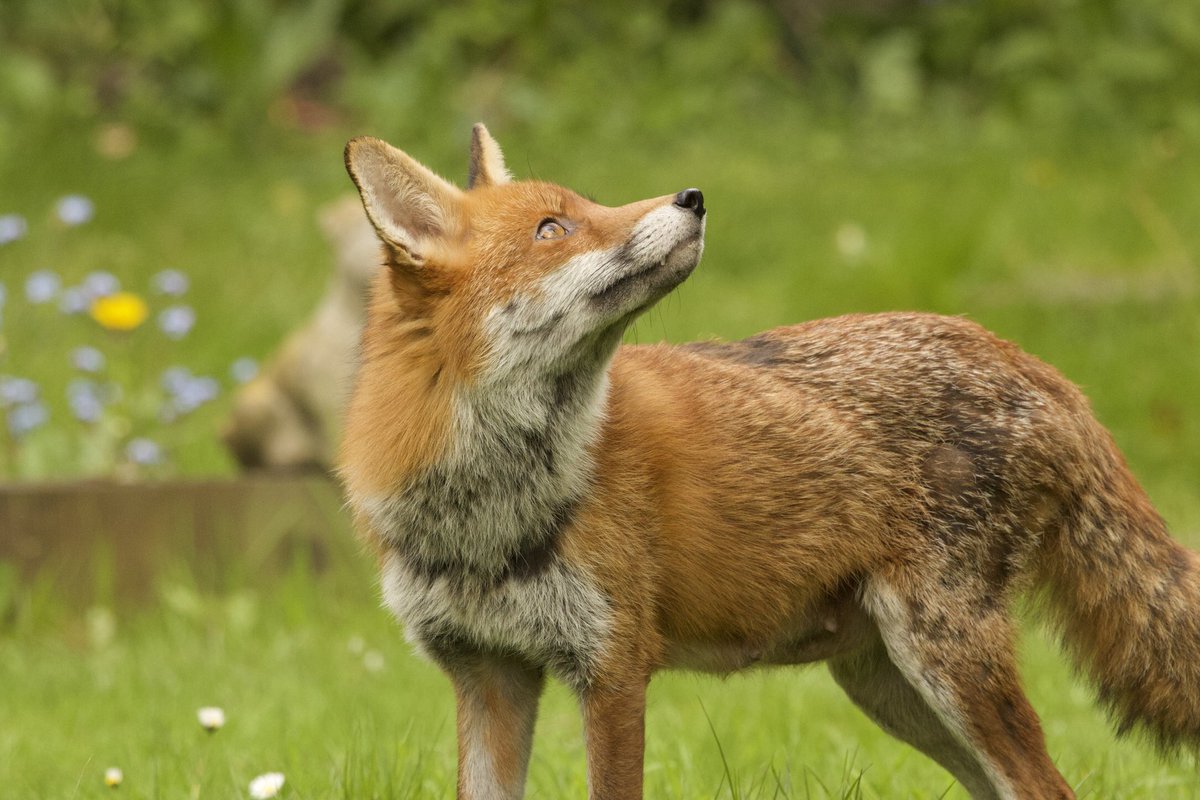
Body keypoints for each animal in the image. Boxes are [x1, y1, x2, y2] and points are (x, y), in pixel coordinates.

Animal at [338, 125, 1200, 800]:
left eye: (587, 206)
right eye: (552, 229)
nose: (692, 196)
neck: (486, 514)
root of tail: (1034, 363)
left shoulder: (612, 669)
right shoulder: (487, 674)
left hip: (945, 666)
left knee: (1048, 787)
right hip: (891, 688)